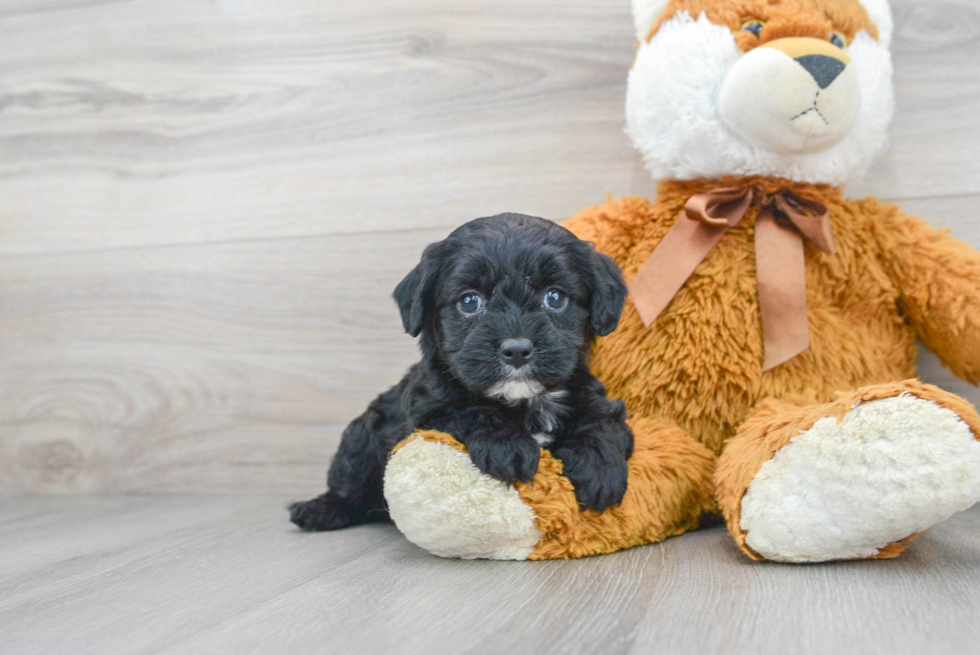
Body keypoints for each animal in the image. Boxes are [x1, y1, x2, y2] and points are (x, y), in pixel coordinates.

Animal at [288, 213, 632, 532]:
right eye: (469, 301)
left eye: (555, 298)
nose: (517, 349)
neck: (525, 401)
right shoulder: (426, 415)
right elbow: (470, 411)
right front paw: (507, 445)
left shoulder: (595, 398)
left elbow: (601, 423)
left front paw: (598, 468)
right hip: (363, 434)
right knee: (350, 481)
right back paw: (320, 510)